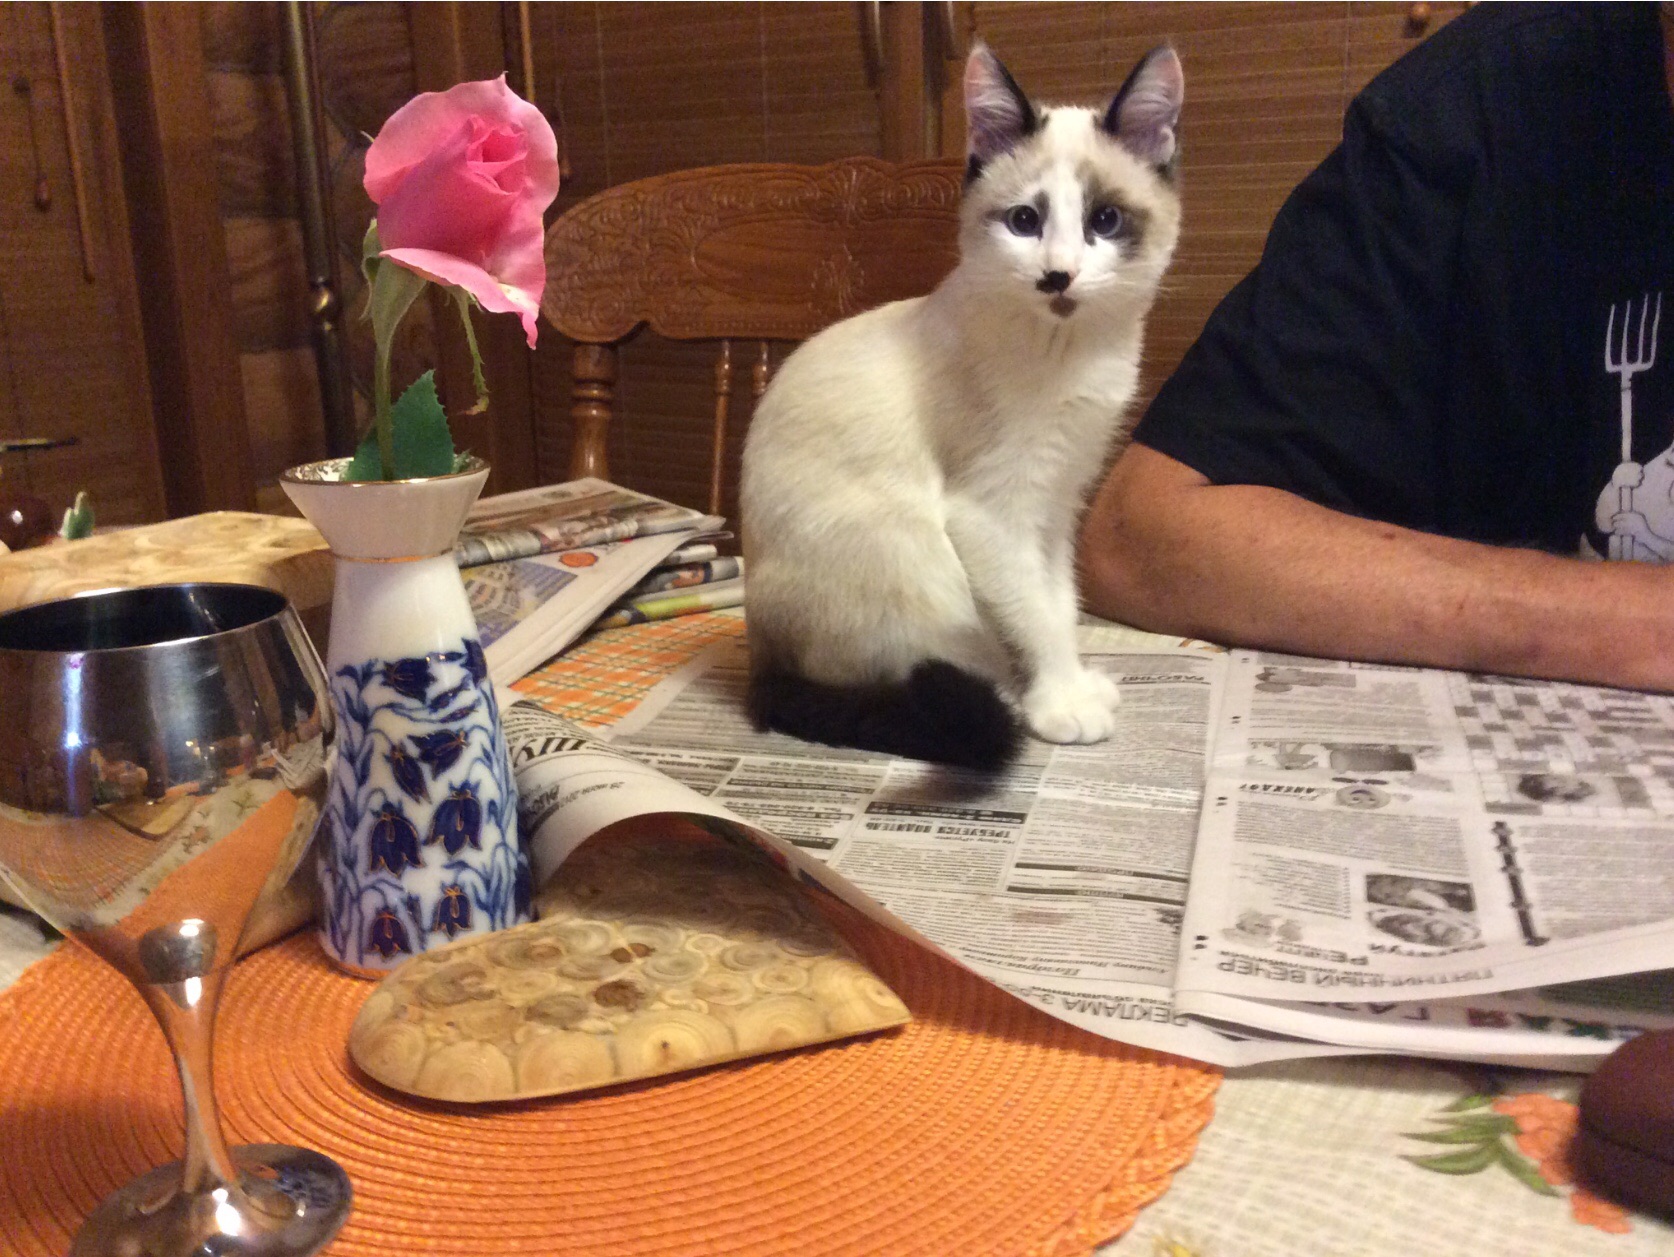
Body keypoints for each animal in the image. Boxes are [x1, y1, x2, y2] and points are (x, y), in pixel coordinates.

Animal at [739, 41, 1184, 770]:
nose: (1058, 276)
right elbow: (1036, 616)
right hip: (912, 554)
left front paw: (1069, 685)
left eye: (1105, 220)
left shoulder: (1056, 504)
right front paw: (1060, 703)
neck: (1070, 352)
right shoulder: (992, 515)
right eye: (1025, 221)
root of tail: (760, 659)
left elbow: (1061, 602)